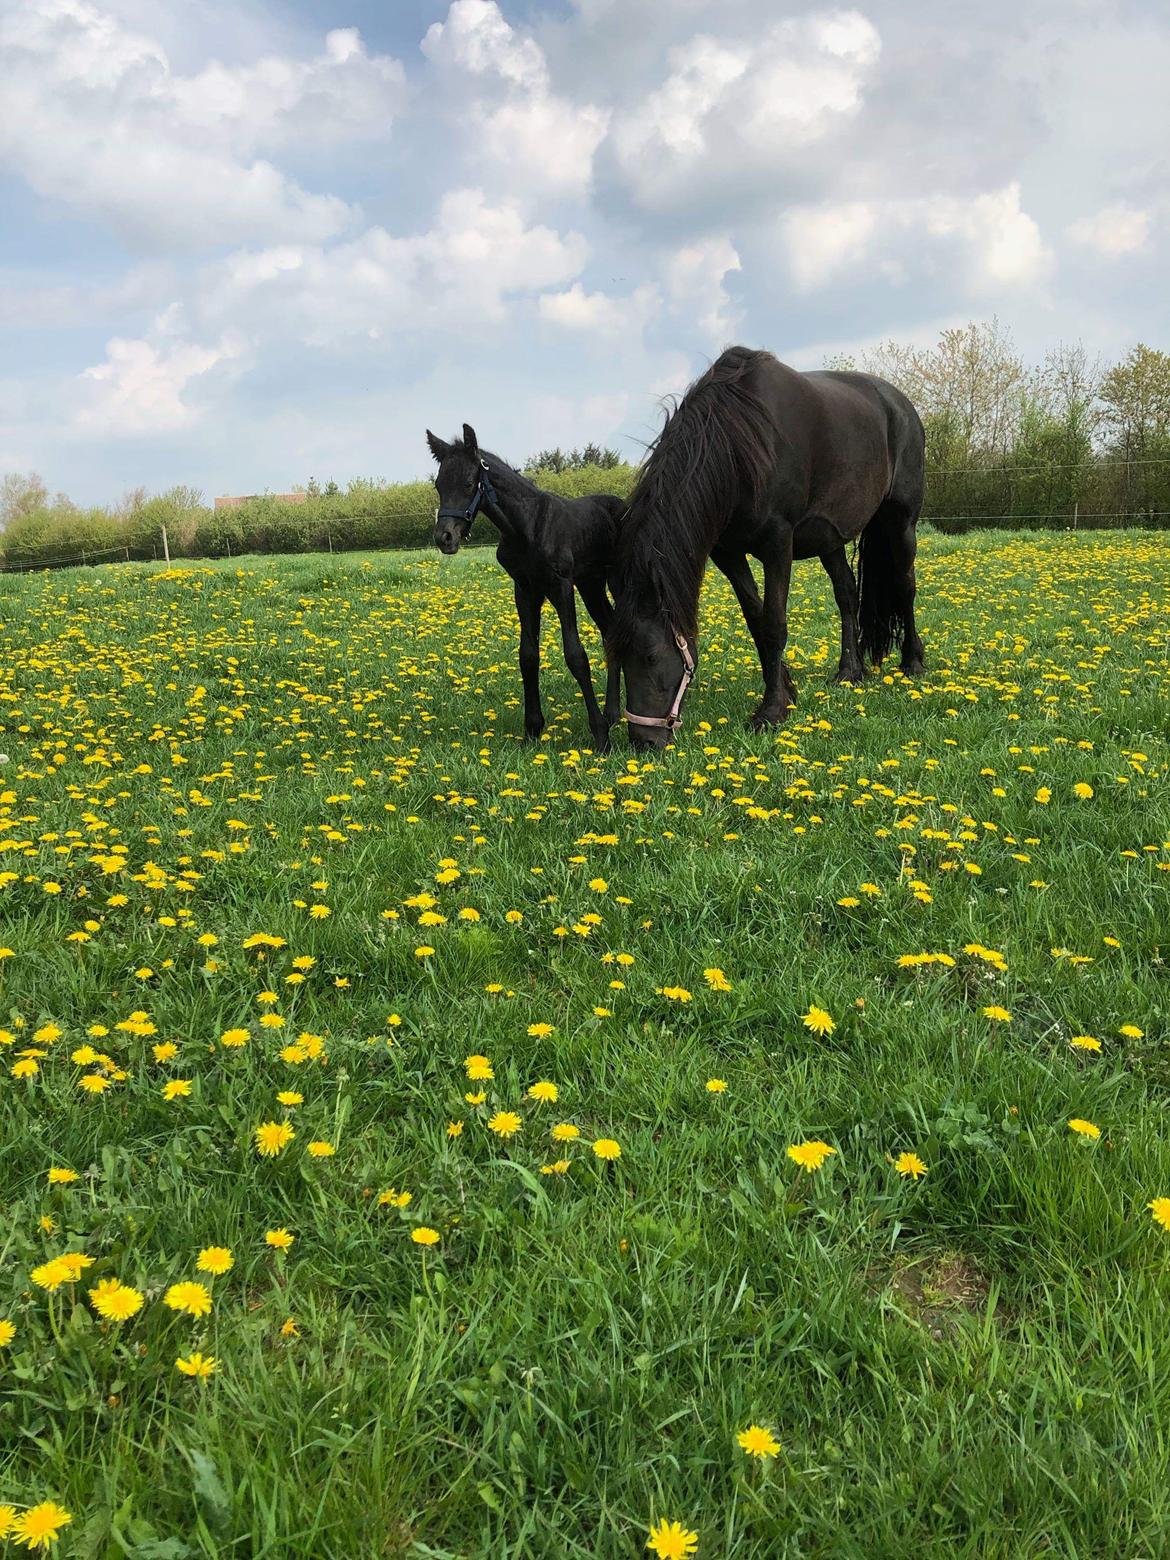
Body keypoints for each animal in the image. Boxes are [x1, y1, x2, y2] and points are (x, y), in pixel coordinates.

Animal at [427, 424, 627, 745]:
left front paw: (599, 734)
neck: (527, 527)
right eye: (438, 485)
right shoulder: (525, 590)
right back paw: (613, 712)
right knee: (610, 632)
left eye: (469, 483)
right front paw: (533, 727)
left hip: (616, 579)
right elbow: (528, 655)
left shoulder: (560, 586)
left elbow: (575, 655)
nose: (445, 538)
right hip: (591, 584)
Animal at [608, 347, 929, 748]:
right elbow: (756, 621)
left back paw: (913, 662)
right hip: (830, 541)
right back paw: (849, 672)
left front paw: (772, 710)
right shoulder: (728, 553)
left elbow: (775, 623)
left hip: (901, 523)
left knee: (905, 586)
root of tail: (901, 404)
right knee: (846, 594)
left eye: (651, 656)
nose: (643, 740)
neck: (737, 443)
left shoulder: (778, 544)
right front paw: (787, 690)